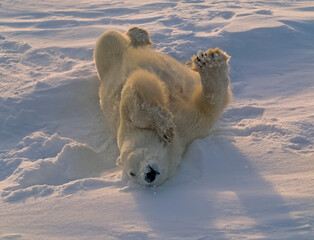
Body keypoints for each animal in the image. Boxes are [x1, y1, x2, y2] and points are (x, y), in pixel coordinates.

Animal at [93, 27, 231, 187]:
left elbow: (135, 88)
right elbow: (210, 106)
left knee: (108, 39)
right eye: (132, 174)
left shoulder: (126, 122)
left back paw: (140, 34)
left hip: (109, 59)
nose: (148, 176)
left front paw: (210, 61)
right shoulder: (192, 130)